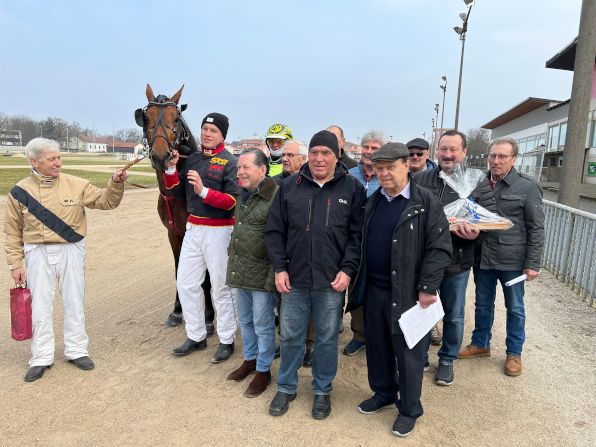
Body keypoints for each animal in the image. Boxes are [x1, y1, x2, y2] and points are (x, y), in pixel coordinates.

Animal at [136, 86, 215, 334]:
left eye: (177, 118)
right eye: (146, 118)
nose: (161, 156)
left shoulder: (199, 232)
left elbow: (205, 278)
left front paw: (208, 316)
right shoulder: (174, 234)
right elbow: (179, 271)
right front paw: (178, 311)